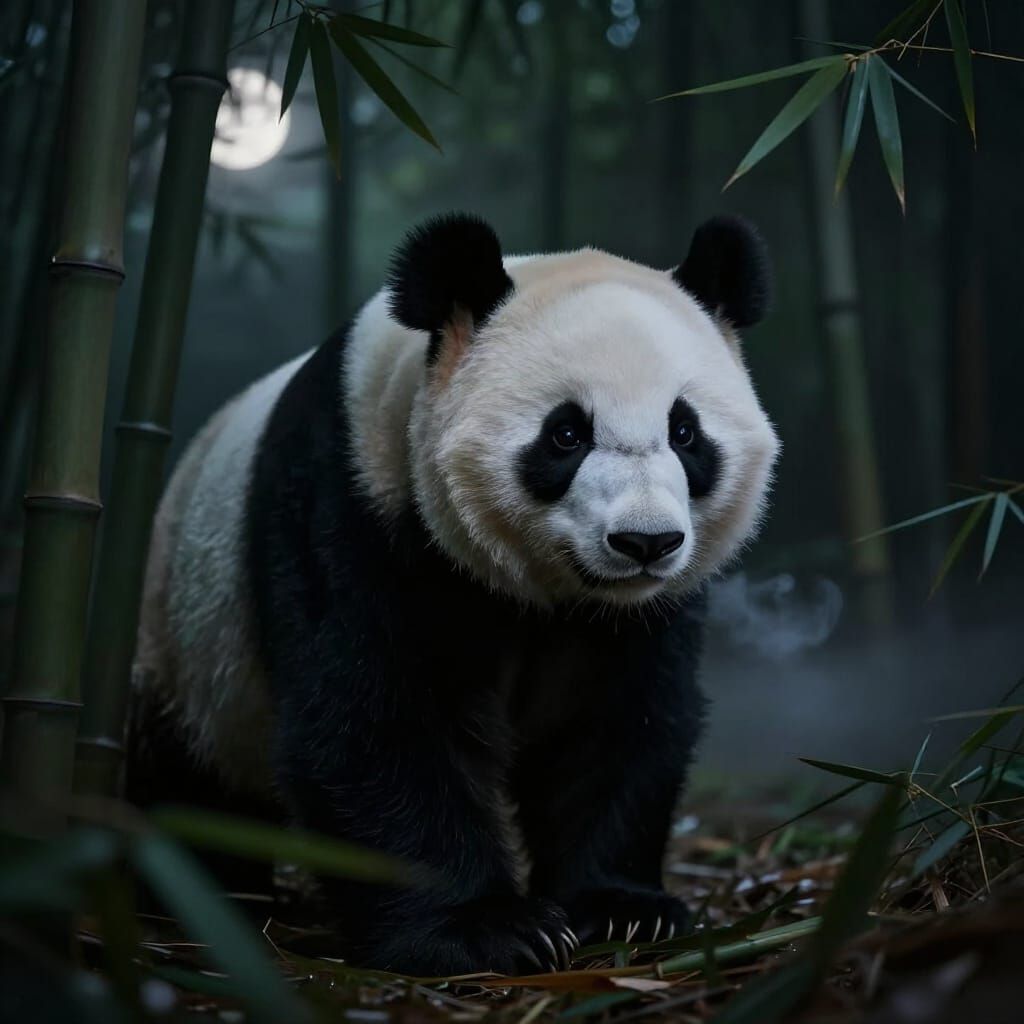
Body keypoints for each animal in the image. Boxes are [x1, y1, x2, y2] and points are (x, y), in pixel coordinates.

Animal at [128, 212, 779, 976]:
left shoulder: (634, 616)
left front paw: (621, 909)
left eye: (685, 431)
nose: (644, 542)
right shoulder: (352, 508)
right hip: (184, 648)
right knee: (185, 786)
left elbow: (617, 721)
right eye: (566, 432)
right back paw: (199, 887)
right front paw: (486, 930)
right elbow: (372, 718)